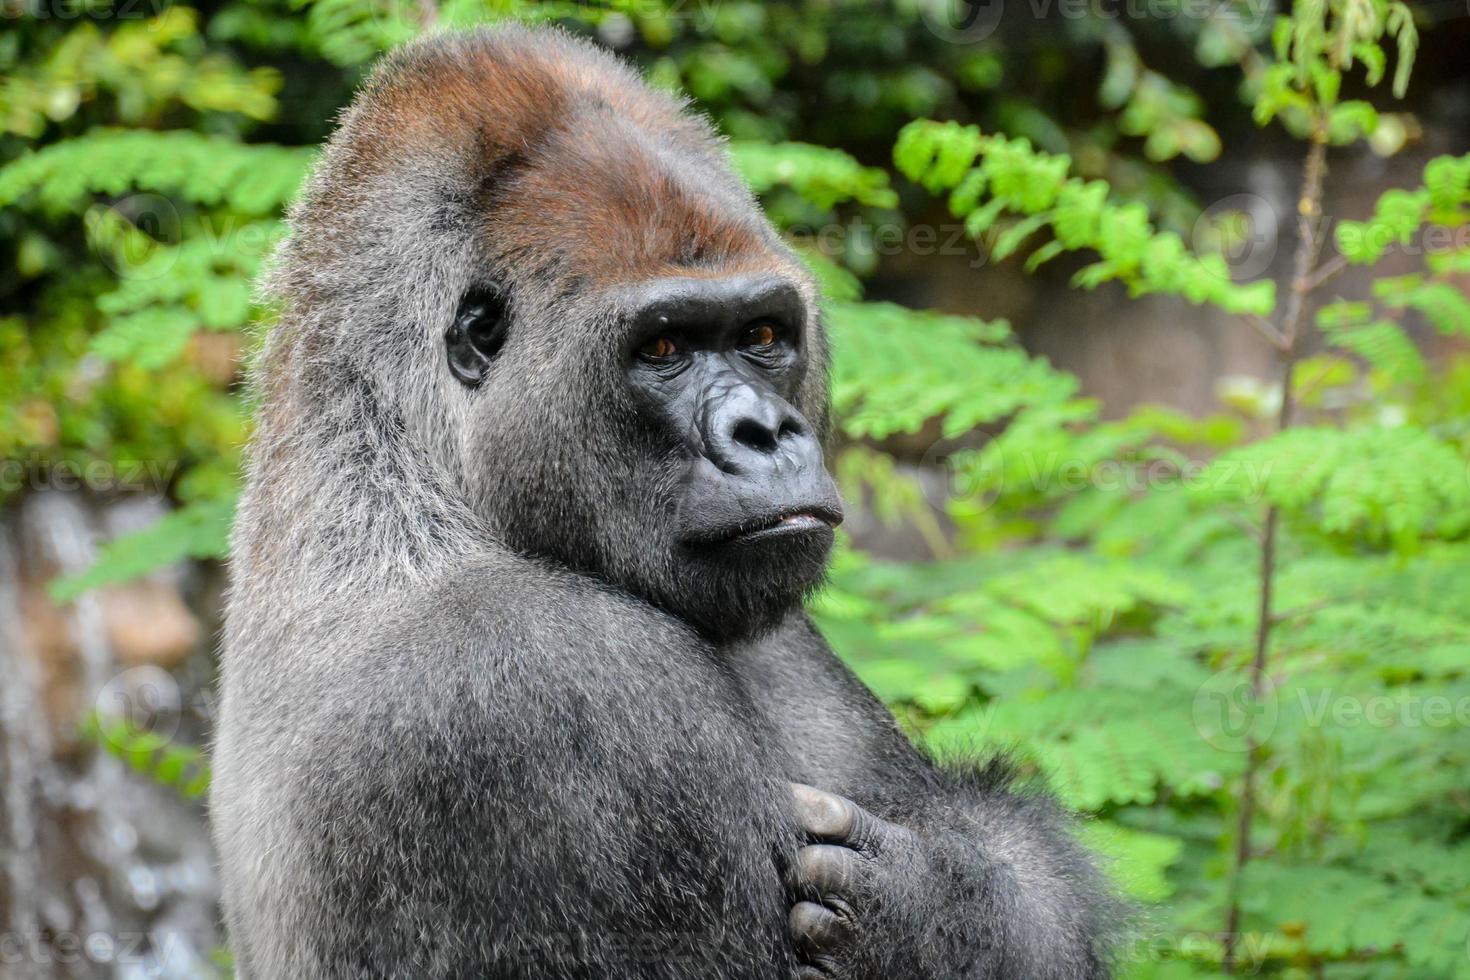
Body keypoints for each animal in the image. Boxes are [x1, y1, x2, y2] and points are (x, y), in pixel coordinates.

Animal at [213, 22, 1111, 980]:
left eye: (762, 335)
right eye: (664, 349)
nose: (766, 432)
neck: (407, 464)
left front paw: (941, 899)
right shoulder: (548, 678)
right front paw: (919, 909)